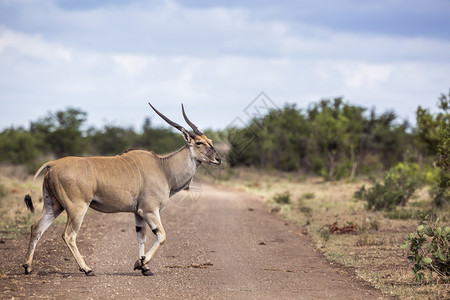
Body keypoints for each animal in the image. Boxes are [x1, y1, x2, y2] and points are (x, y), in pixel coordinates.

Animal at [21, 103, 221, 276]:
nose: (218, 159)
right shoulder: (149, 210)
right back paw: (87, 269)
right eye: (199, 143)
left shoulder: (138, 213)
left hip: (53, 206)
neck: (164, 168)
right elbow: (162, 236)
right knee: (68, 235)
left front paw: (143, 267)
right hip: (76, 208)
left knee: (36, 228)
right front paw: (141, 263)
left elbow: (141, 237)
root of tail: (52, 164)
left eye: (210, 140)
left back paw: (28, 267)